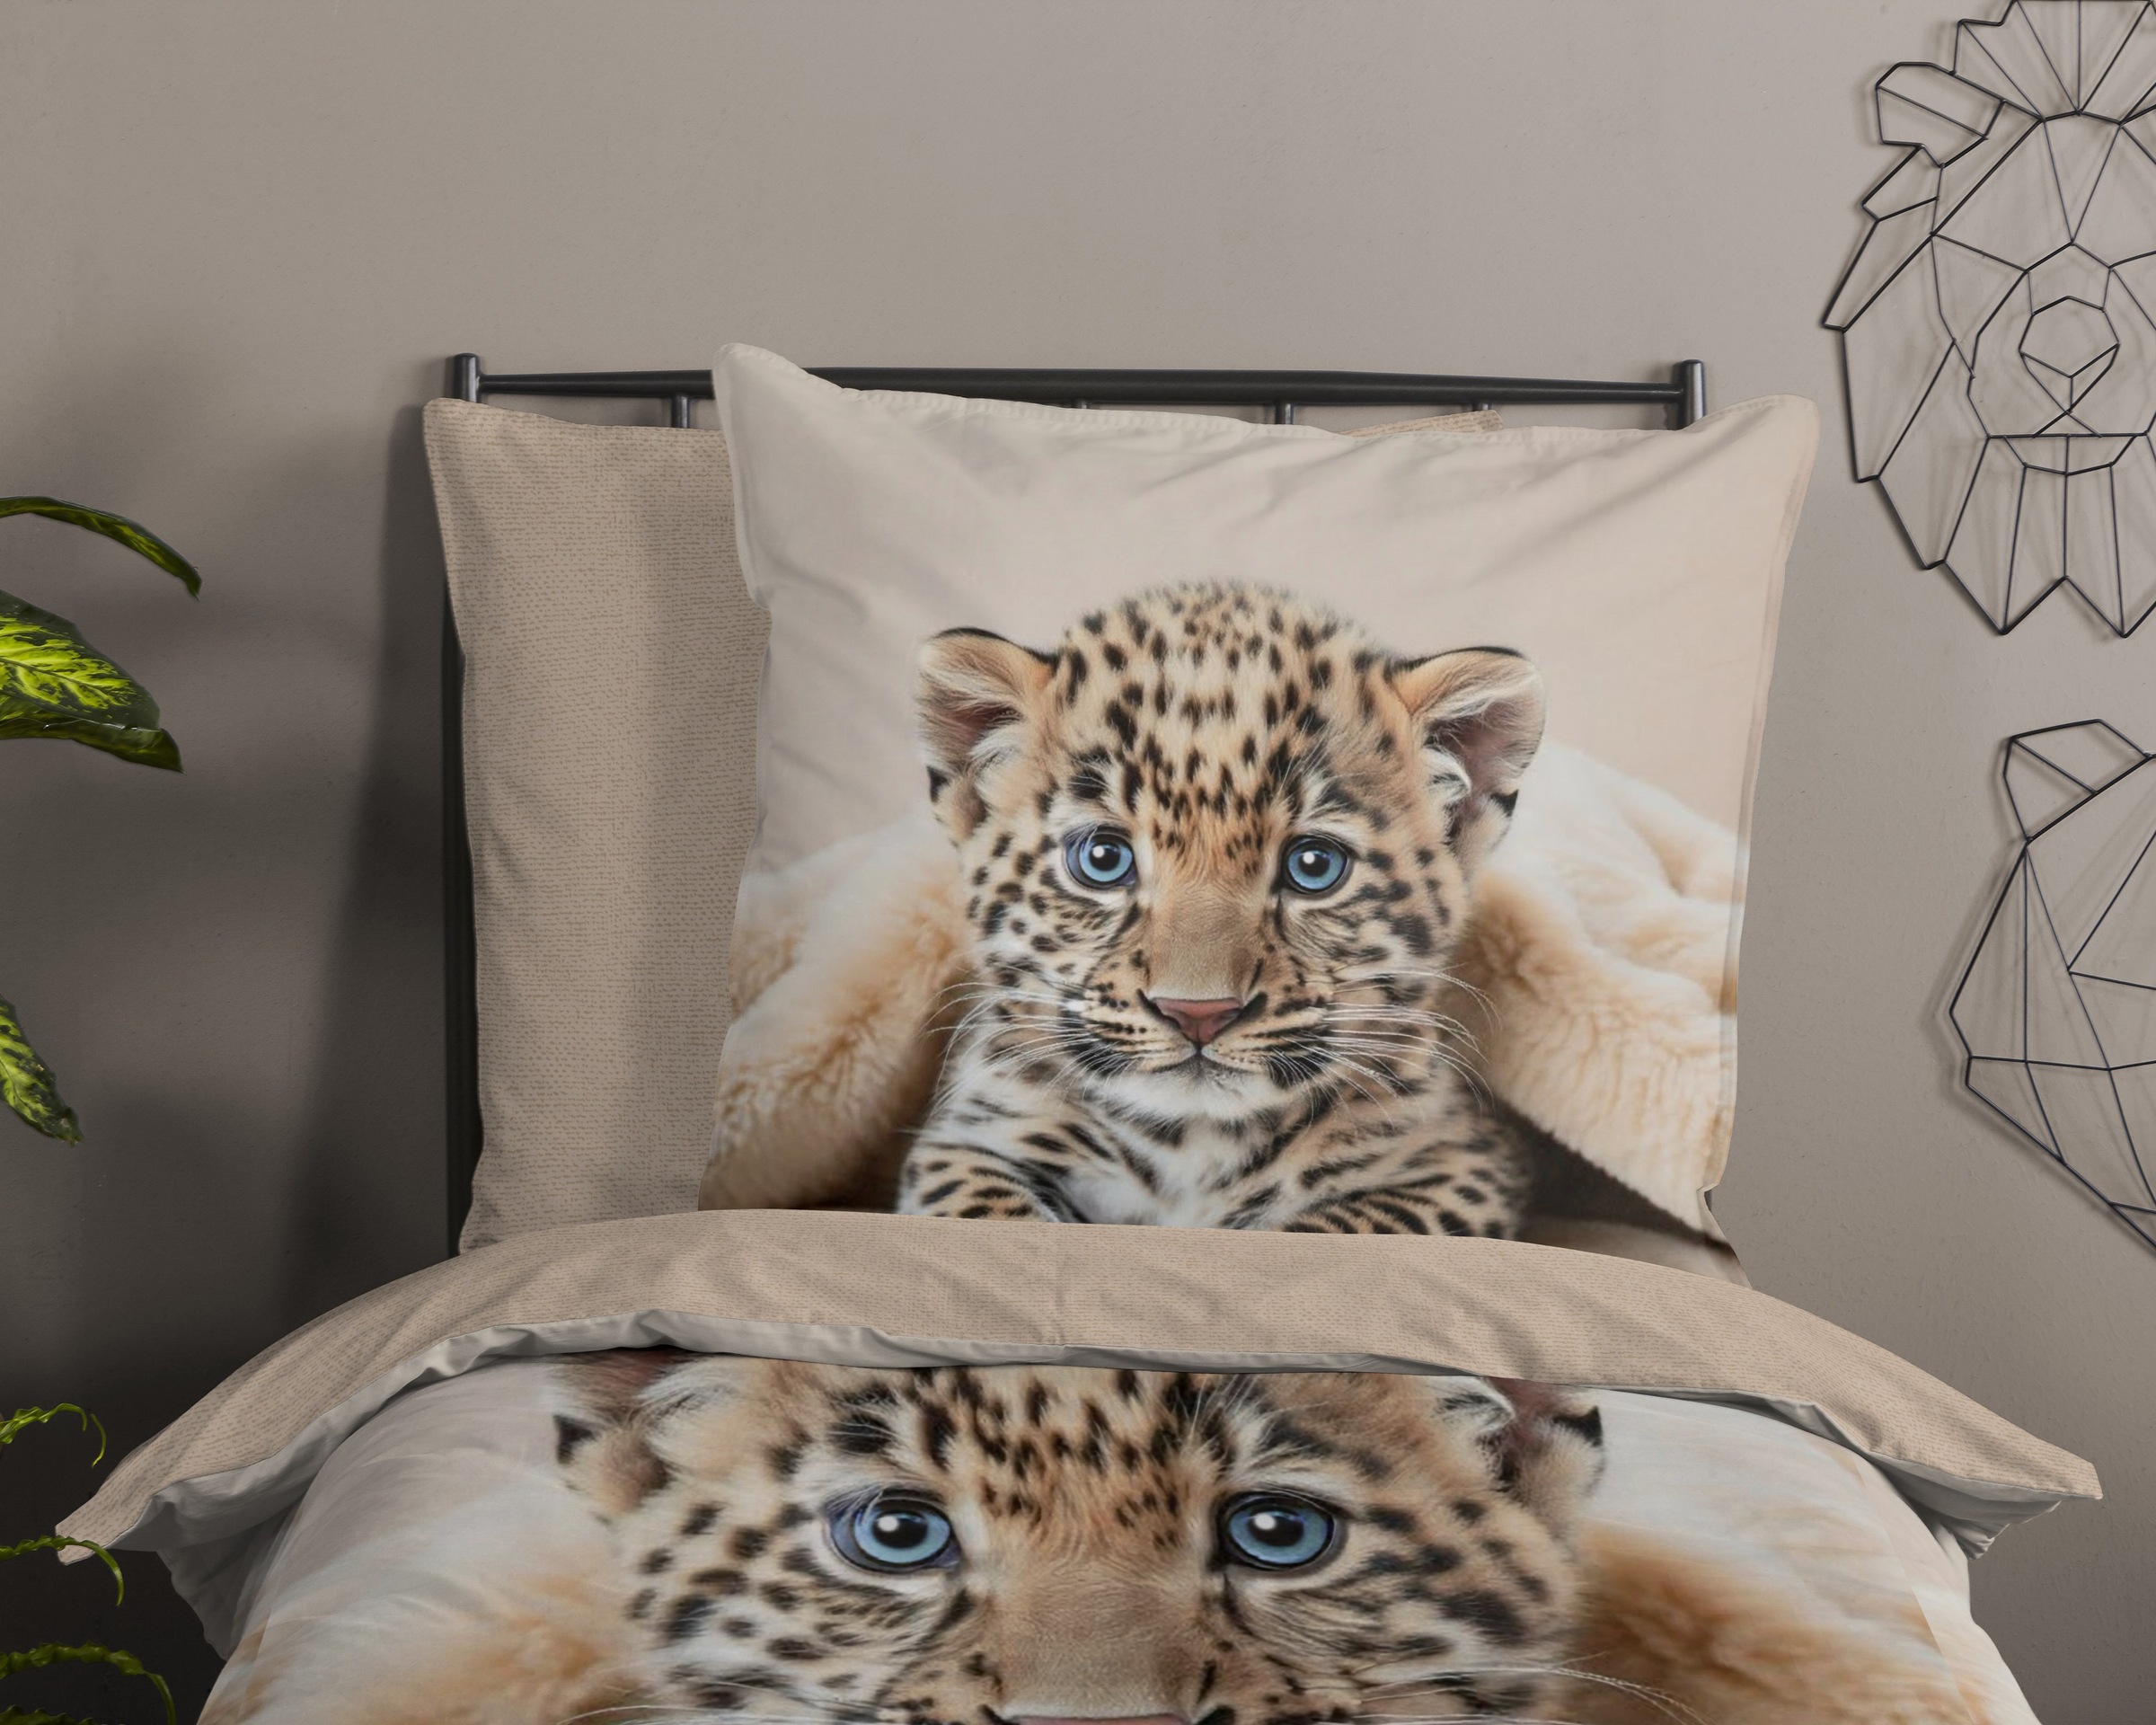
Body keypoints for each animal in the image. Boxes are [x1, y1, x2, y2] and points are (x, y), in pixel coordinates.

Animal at [894, 582, 1542, 1235]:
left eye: (1314, 866)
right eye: (1103, 858)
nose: (1197, 1014)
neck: (1192, 1146)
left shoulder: (1460, 1164)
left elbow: (1335, 1229)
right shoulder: (966, 1141)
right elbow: (985, 1213)